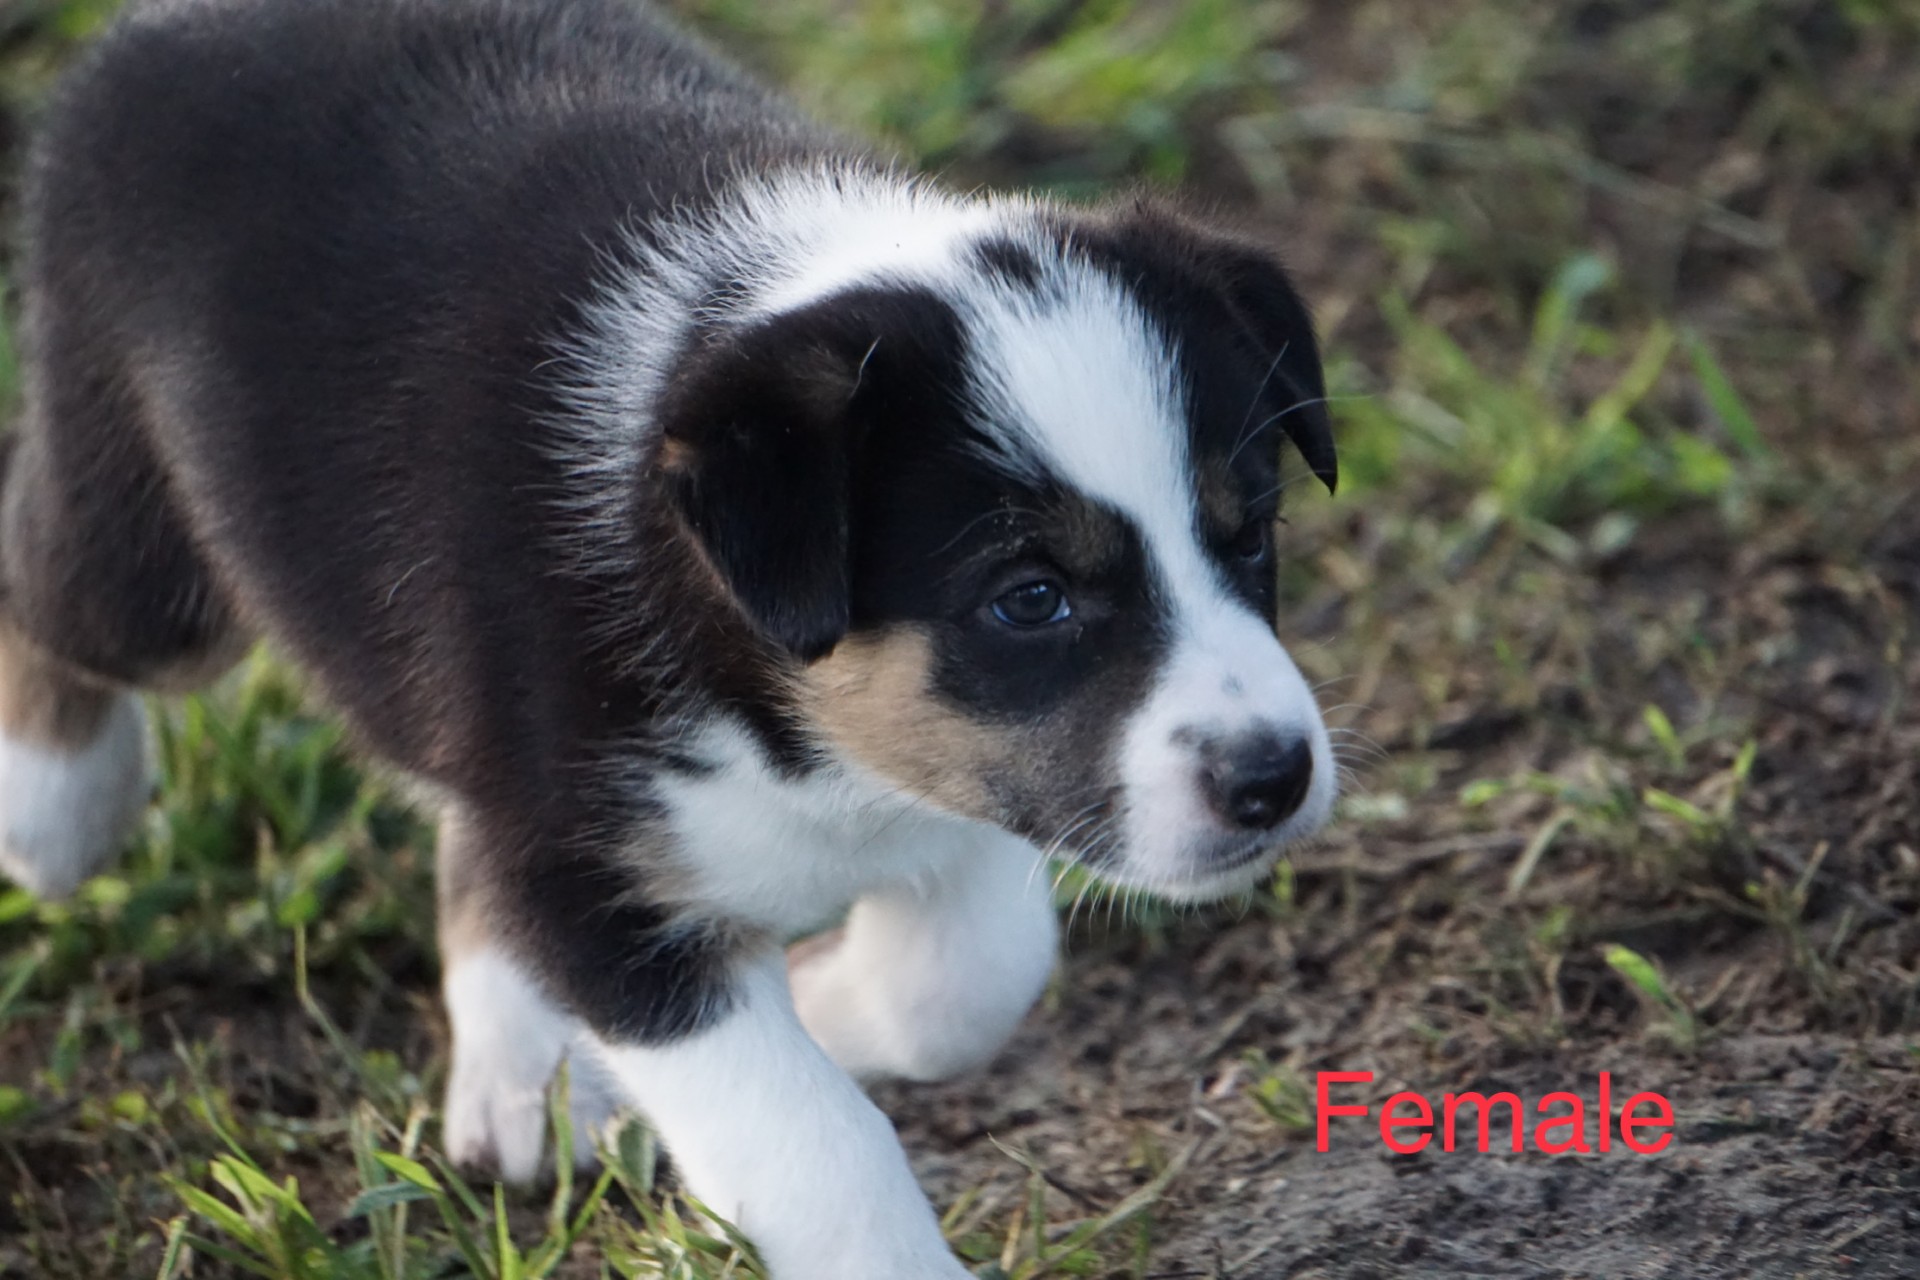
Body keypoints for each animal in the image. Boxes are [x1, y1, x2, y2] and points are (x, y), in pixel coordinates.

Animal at [0, 5, 1344, 1274]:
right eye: (1029, 598)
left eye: (1253, 531)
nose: (1274, 778)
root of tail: (160, 25)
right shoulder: (595, 877)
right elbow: (815, 1139)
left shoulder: (965, 771)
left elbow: (966, 979)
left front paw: (826, 998)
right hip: (152, 568)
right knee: (44, 590)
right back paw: (54, 812)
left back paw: (523, 1075)